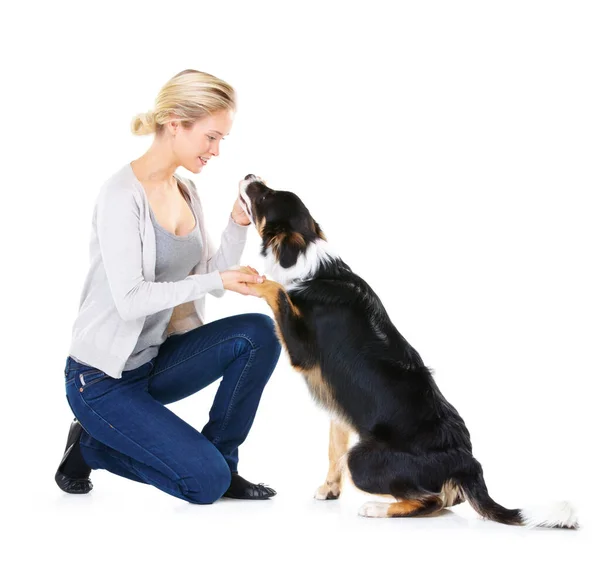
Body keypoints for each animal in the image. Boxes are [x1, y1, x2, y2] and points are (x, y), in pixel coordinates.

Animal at [237, 171, 580, 524]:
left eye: (265, 195)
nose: (250, 175)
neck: (307, 258)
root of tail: (466, 463)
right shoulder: (339, 406)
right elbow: (333, 446)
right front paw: (329, 489)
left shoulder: (302, 352)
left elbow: (276, 290)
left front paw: (252, 278)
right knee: (441, 499)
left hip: (362, 459)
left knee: (430, 501)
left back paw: (376, 508)